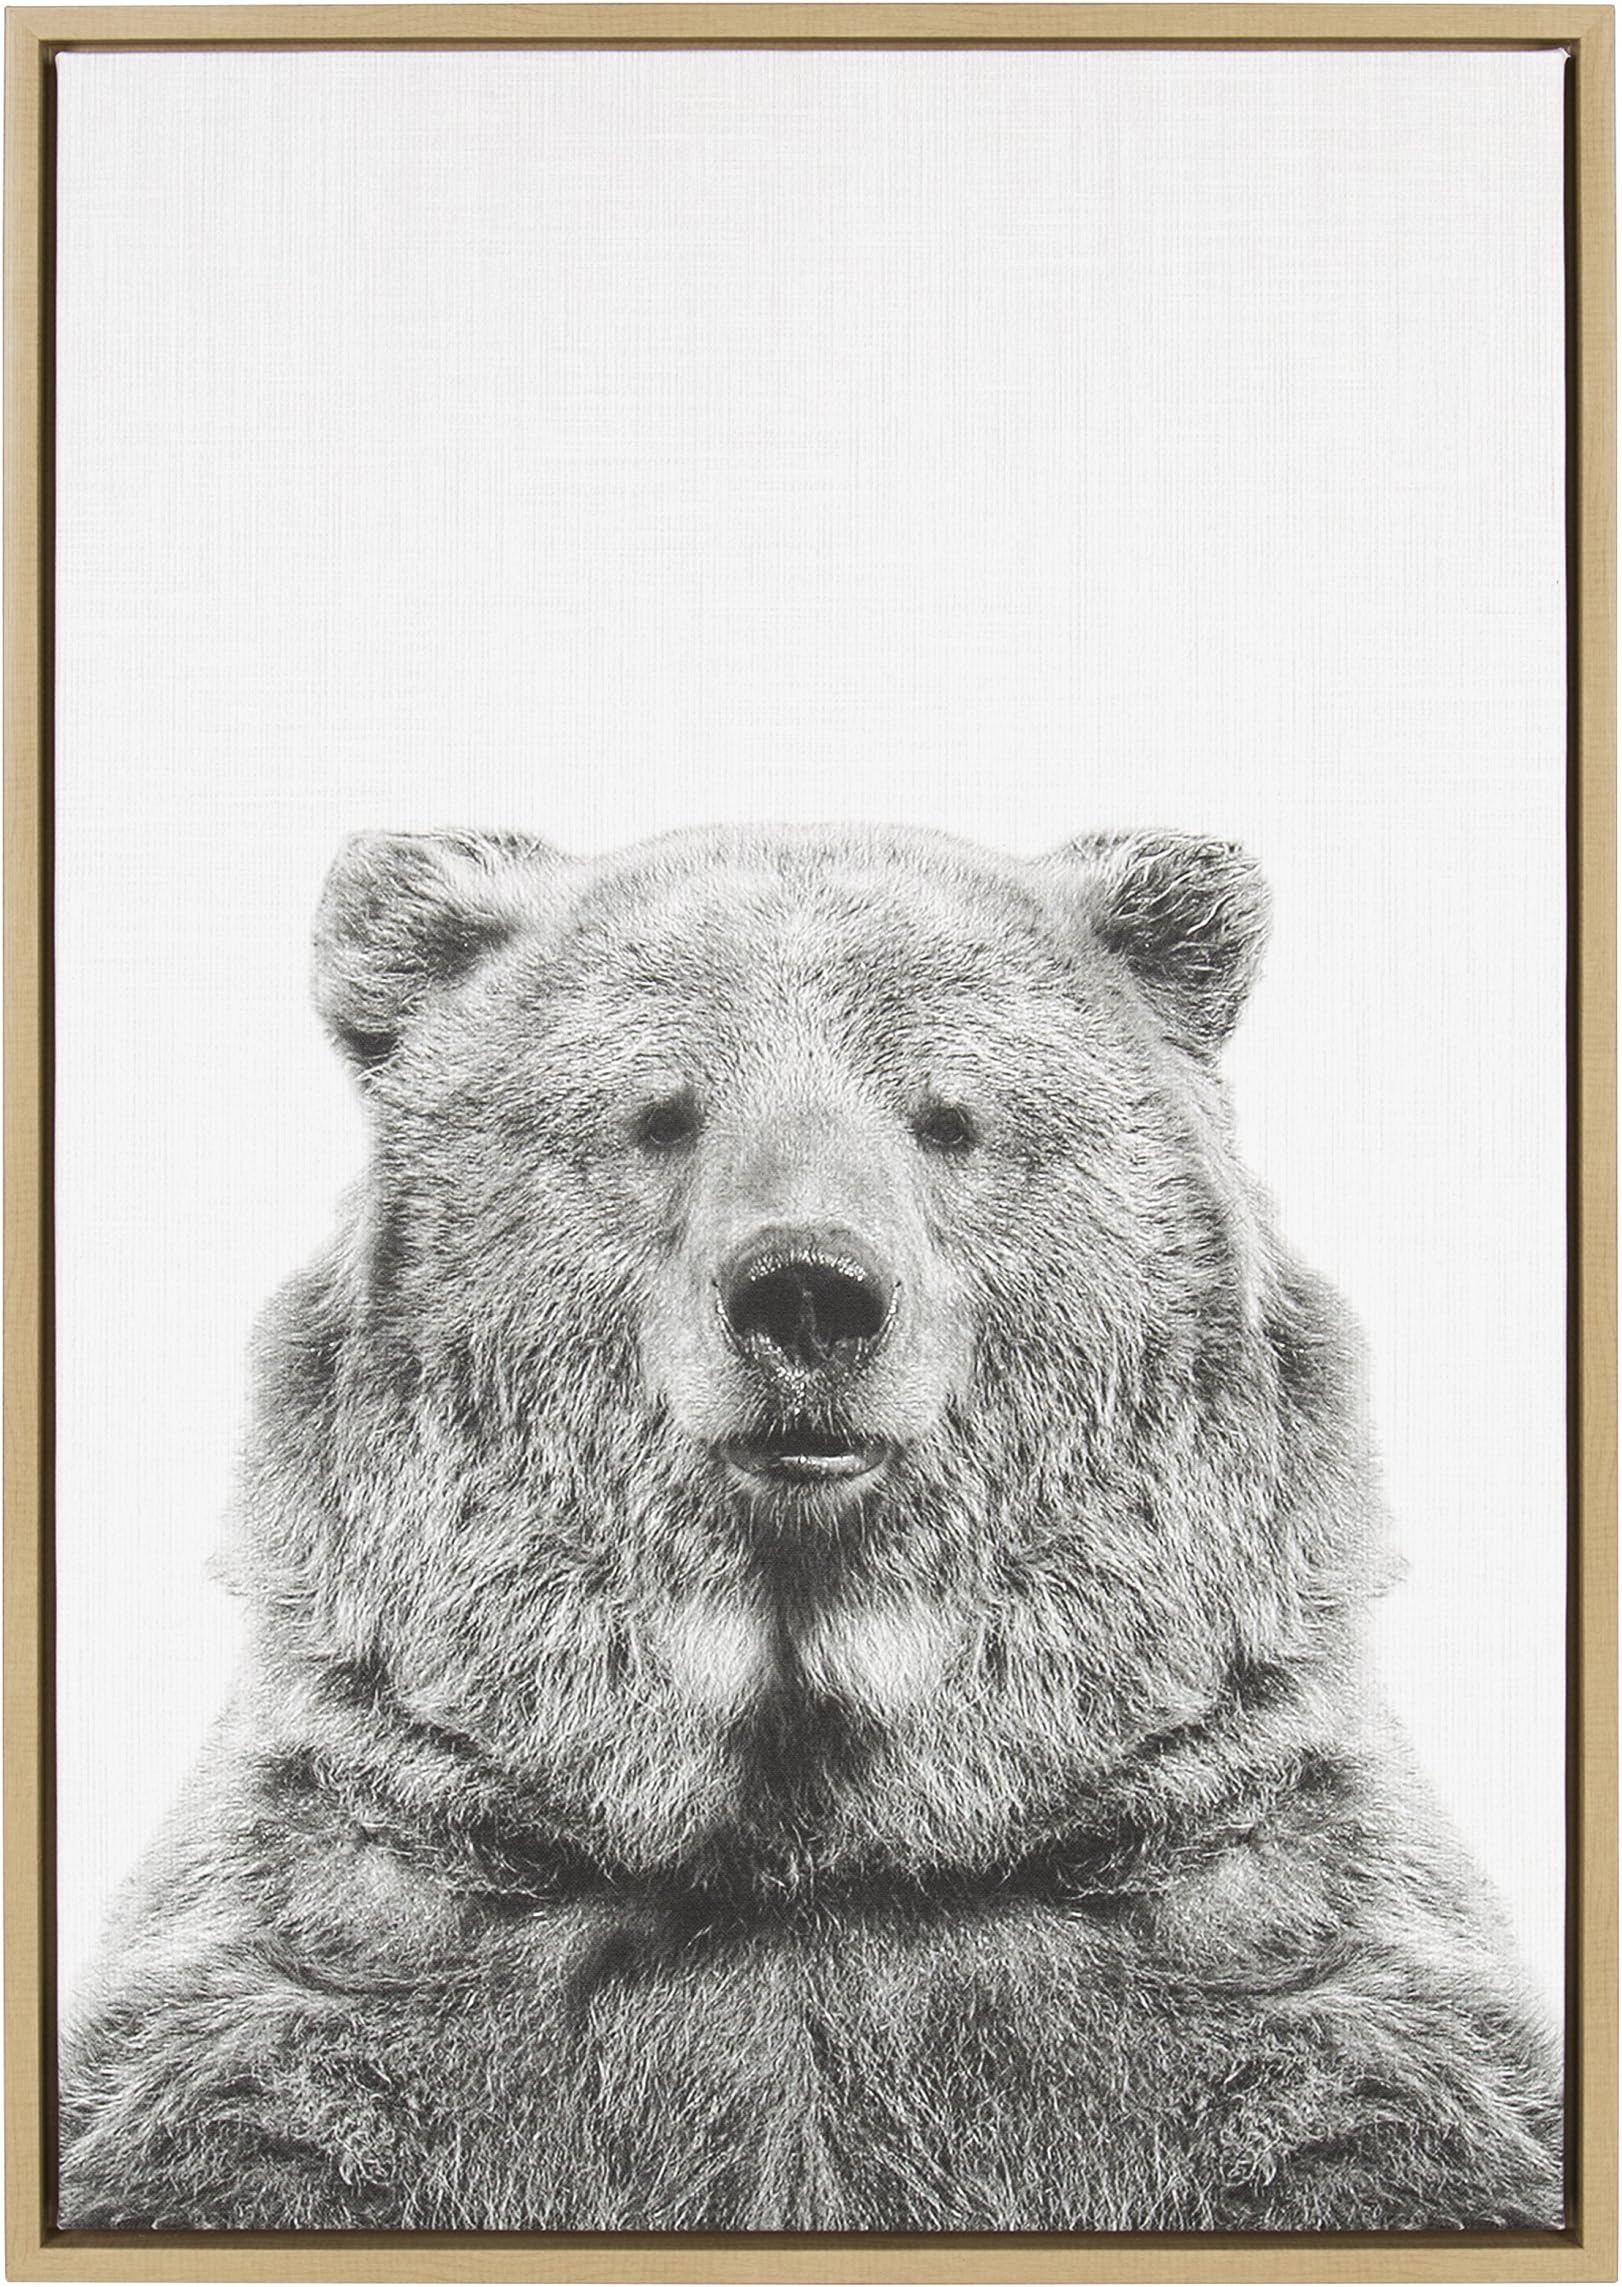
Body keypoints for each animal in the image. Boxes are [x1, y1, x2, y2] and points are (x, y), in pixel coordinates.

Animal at [58, 823, 1562, 2234]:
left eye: (946, 1117)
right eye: (660, 1113)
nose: (808, 1292)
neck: (805, 1829)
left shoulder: (1238, 1911)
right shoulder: (367, 1919)